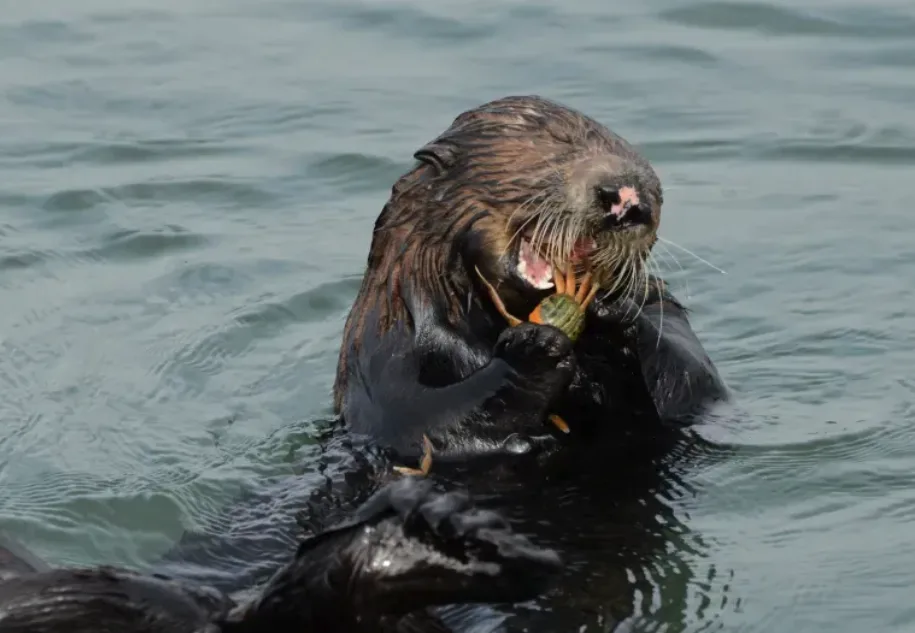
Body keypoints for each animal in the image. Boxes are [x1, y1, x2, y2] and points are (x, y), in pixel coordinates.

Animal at [334, 95, 728, 463]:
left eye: (656, 189)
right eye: (558, 143)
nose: (627, 198)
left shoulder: (666, 312)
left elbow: (695, 379)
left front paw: (612, 312)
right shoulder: (380, 350)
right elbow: (412, 421)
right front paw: (535, 350)